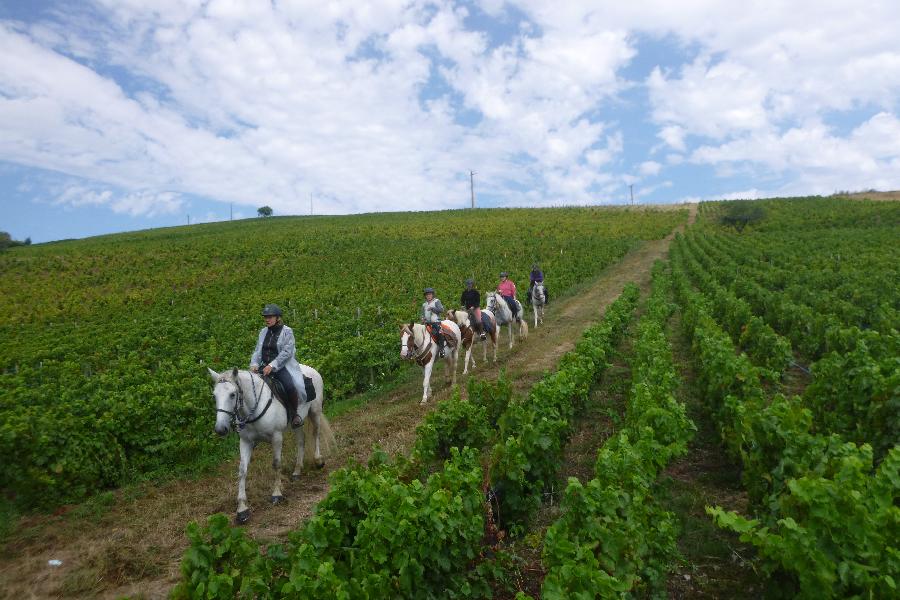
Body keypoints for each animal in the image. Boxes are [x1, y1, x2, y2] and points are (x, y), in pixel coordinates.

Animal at [207, 364, 334, 524]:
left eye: (232, 394)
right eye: (214, 396)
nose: (220, 429)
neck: (253, 407)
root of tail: (311, 369)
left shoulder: (276, 437)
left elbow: (276, 464)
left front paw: (277, 494)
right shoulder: (246, 442)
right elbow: (242, 471)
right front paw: (242, 509)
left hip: (315, 412)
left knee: (315, 434)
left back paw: (318, 461)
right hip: (297, 422)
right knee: (301, 441)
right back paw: (297, 470)